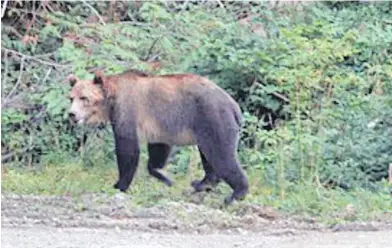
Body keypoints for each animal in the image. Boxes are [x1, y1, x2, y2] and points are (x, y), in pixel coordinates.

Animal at [66, 70, 248, 205]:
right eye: (71, 97)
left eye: (84, 98)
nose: (72, 114)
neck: (111, 102)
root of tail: (234, 106)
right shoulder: (158, 124)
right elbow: (158, 149)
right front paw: (165, 176)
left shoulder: (127, 113)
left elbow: (127, 149)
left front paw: (119, 185)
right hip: (206, 127)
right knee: (208, 155)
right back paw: (201, 183)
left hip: (213, 118)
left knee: (222, 156)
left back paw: (235, 194)